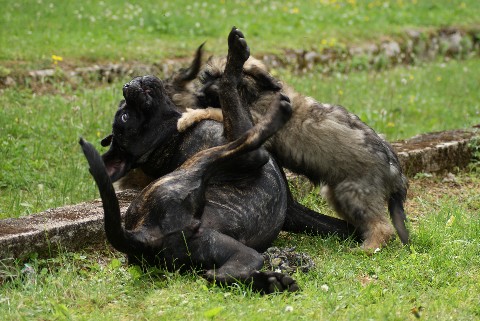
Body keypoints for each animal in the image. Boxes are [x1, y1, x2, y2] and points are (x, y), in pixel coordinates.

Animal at [171, 47, 406, 250]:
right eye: (206, 77)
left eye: (220, 78)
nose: (198, 94)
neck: (254, 92)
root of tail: (394, 165)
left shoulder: (256, 122)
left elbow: (215, 111)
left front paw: (188, 116)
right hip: (338, 194)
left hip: (353, 193)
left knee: (382, 226)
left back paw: (369, 248)